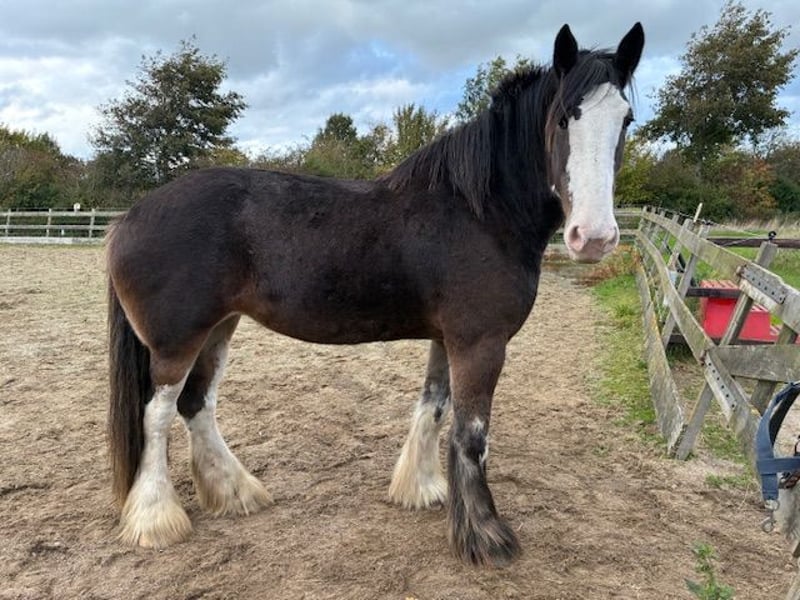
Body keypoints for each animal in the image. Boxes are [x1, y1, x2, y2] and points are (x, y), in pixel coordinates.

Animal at [106, 22, 644, 566]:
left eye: (626, 119)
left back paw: (236, 493)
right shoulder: (481, 343)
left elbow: (434, 408)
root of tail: (129, 217)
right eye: (563, 118)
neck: (481, 213)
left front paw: (422, 490)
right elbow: (472, 436)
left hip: (219, 328)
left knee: (196, 405)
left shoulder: (448, 339)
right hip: (177, 343)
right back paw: (156, 520)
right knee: (158, 415)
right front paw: (485, 537)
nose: (593, 237)